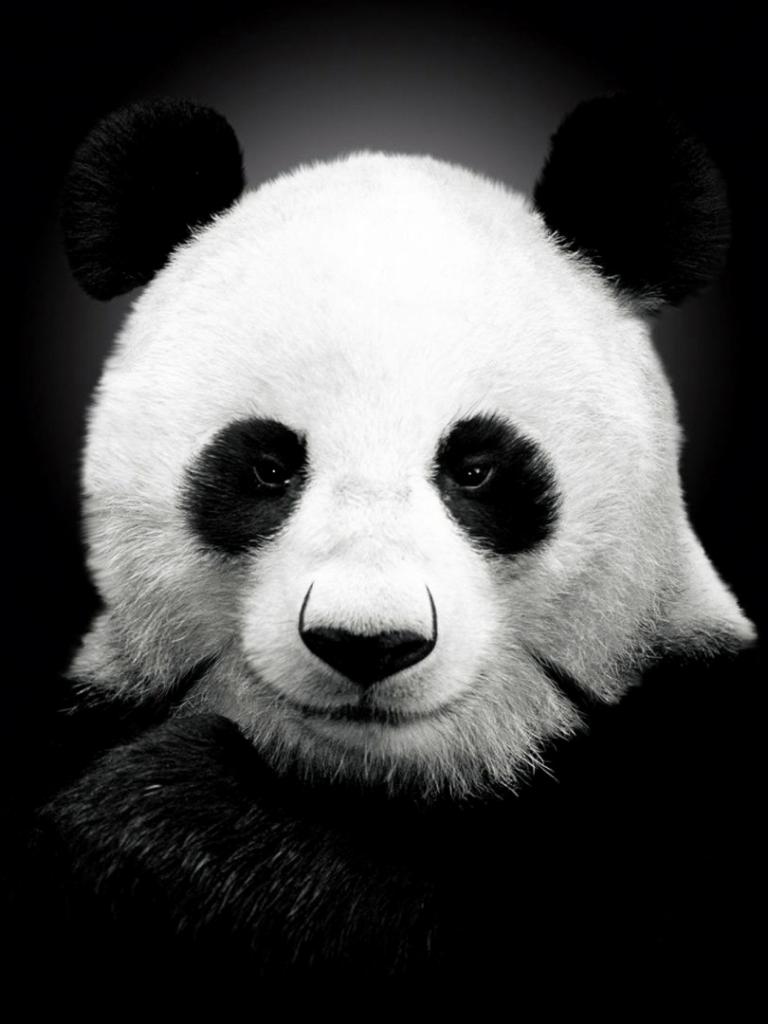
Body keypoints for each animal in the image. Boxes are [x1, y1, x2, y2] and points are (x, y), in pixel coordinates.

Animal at [9, 95, 755, 993]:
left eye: (476, 469)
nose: (367, 643)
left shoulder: (684, 763)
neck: (381, 782)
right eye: (267, 468)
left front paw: (161, 820)